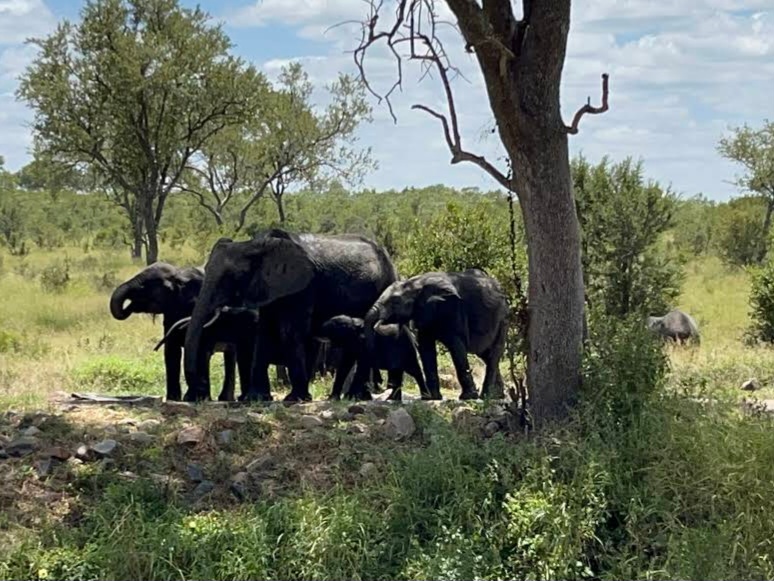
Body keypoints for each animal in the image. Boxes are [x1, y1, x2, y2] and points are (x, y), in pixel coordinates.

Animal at [183, 229, 400, 402]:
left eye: (231, 277)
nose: (198, 392)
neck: (254, 245)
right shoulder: (270, 288)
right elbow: (264, 332)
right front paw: (257, 399)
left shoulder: (303, 288)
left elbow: (289, 332)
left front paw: (295, 399)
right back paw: (354, 397)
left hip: (385, 284)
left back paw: (356, 397)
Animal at [360, 268, 512, 398]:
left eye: (396, 302)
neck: (416, 284)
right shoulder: (423, 313)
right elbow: (426, 348)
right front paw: (432, 398)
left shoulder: (453, 308)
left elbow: (456, 347)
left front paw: (467, 397)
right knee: (486, 355)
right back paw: (497, 396)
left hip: (503, 318)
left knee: (493, 354)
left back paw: (487, 396)